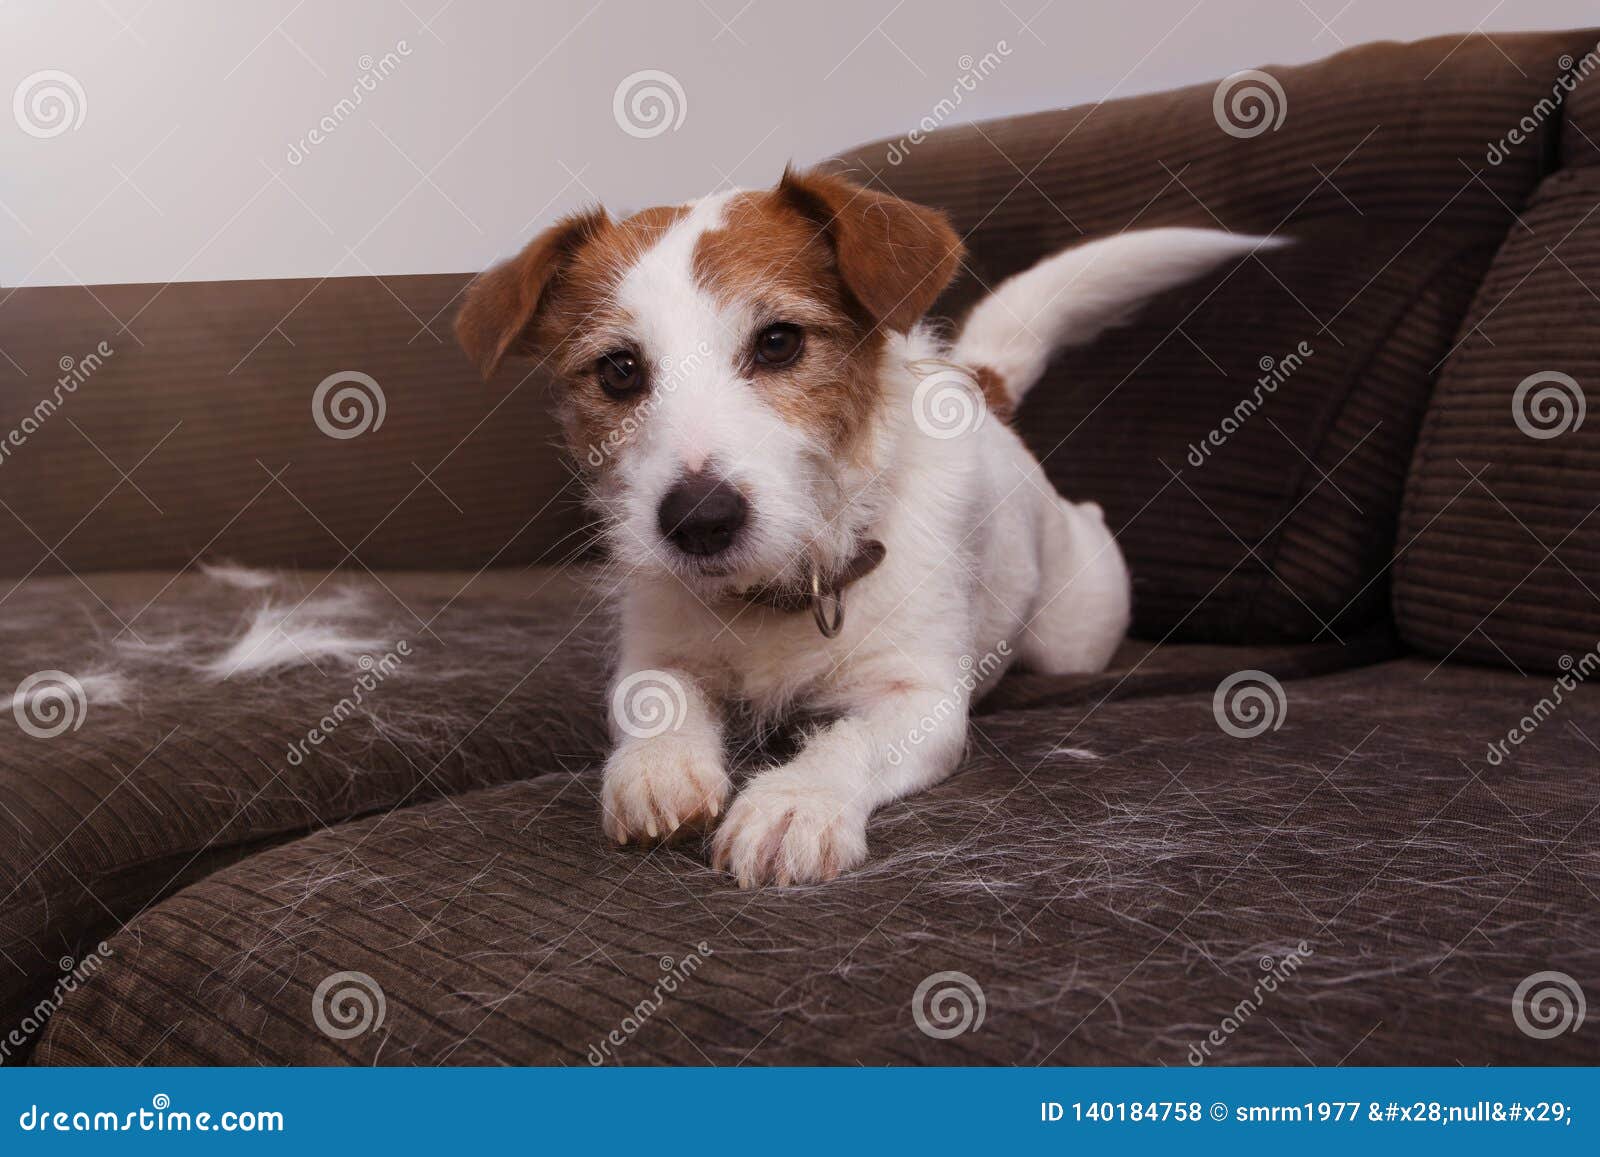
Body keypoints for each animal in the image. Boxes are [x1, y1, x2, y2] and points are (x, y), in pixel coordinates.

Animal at [457, 164, 1267, 889]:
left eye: (779, 341)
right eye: (619, 370)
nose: (699, 520)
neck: (783, 587)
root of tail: (981, 388)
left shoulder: (922, 699)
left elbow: (849, 741)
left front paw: (793, 801)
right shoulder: (656, 649)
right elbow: (655, 698)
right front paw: (658, 765)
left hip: (1076, 633)